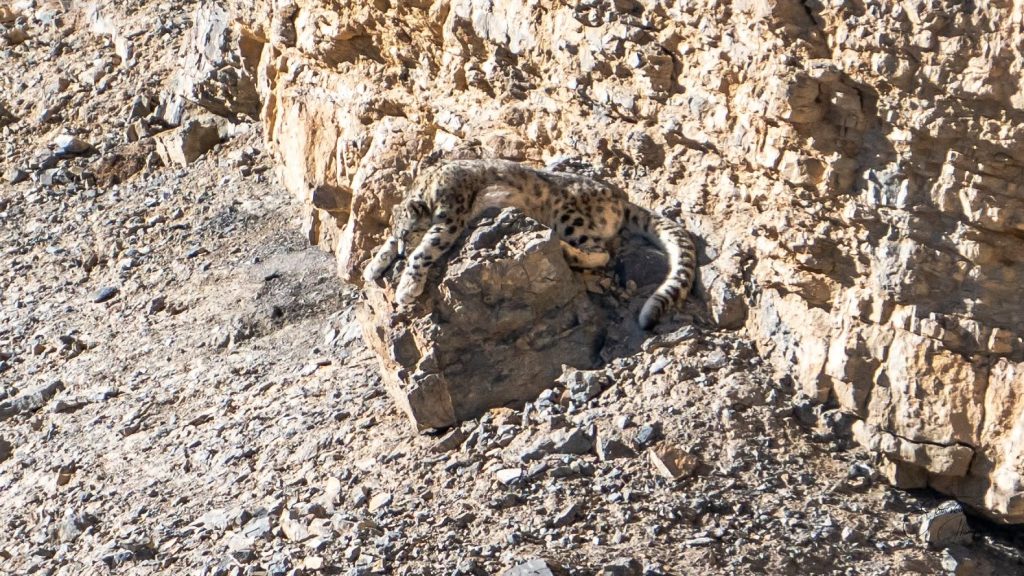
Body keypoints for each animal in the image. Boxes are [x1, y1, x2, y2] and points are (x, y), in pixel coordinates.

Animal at [363, 158, 697, 330]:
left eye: (409, 234)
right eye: (398, 236)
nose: (401, 250)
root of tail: (619, 197)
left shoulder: (449, 219)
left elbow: (425, 250)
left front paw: (407, 286)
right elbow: (383, 246)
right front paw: (373, 265)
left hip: (568, 216)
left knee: (601, 252)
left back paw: (567, 252)